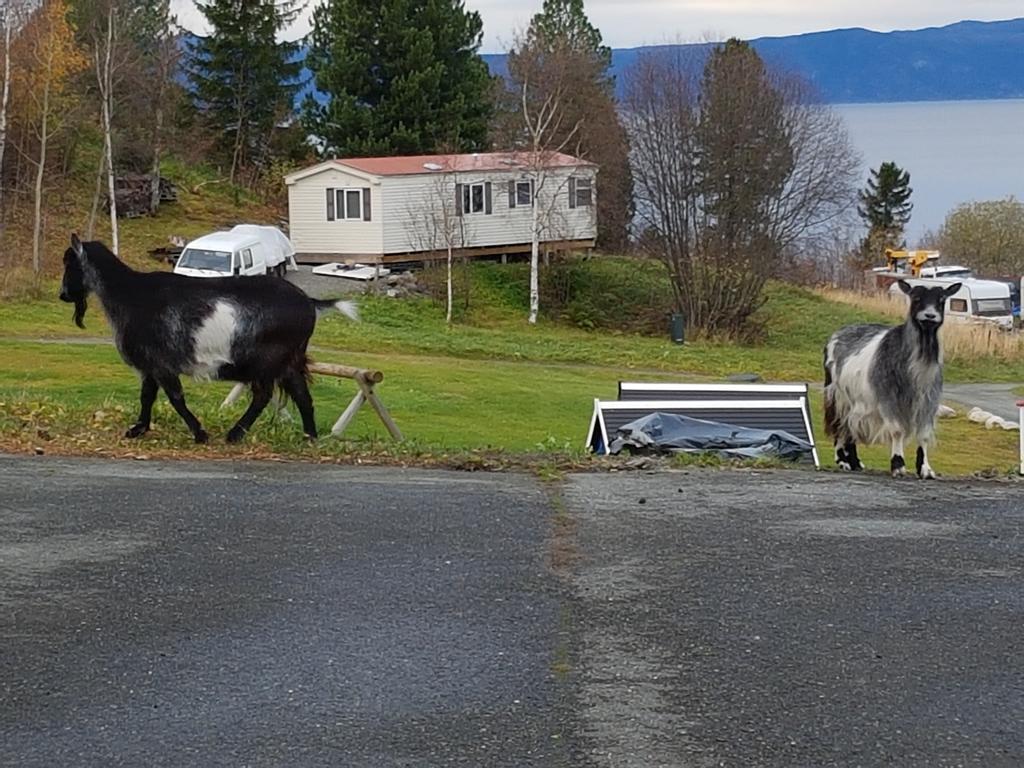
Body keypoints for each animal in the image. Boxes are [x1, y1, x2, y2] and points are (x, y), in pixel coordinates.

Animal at [59, 231, 358, 442]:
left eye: (70, 264)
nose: (63, 295)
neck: (129, 294)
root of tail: (309, 302)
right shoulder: (151, 365)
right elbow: (147, 396)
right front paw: (138, 429)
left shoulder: (161, 363)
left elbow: (175, 398)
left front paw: (200, 434)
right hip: (290, 359)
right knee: (301, 395)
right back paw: (310, 437)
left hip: (269, 359)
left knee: (263, 395)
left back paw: (235, 434)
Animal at [823, 276, 958, 481]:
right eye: (916, 298)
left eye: (942, 300)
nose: (930, 316)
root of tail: (838, 334)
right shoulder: (888, 398)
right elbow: (897, 430)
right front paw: (898, 465)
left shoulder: (928, 401)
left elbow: (924, 434)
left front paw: (925, 469)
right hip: (838, 396)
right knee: (840, 424)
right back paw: (843, 461)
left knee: (851, 426)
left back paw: (855, 463)